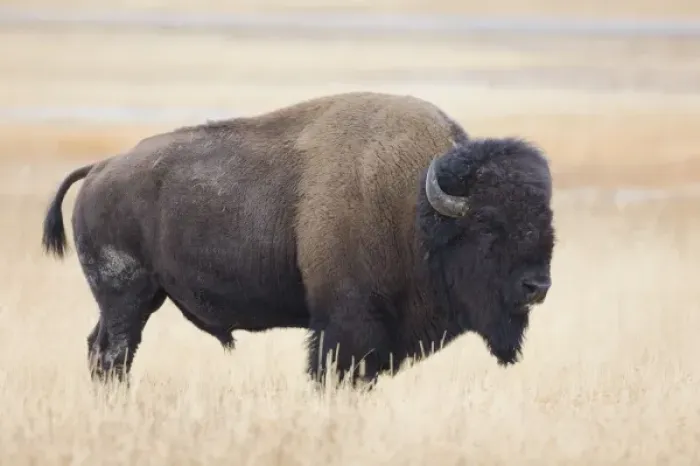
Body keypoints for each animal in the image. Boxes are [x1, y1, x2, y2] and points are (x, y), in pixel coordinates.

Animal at [41, 91, 555, 388]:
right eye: (488, 224)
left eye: (546, 218)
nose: (537, 286)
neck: (415, 206)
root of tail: (101, 168)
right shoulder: (345, 324)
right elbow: (333, 371)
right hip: (125, 296)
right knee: (113, 353)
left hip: (140, 298)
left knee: (102, 349)